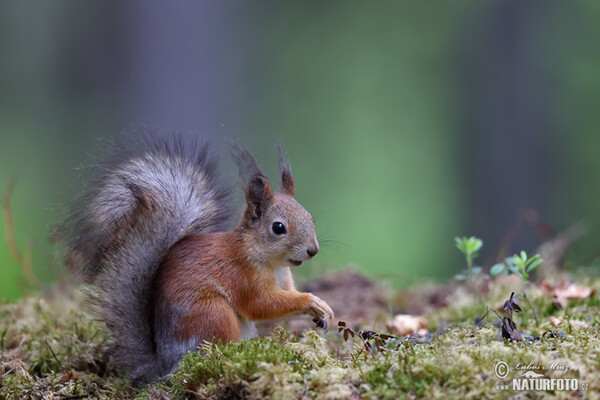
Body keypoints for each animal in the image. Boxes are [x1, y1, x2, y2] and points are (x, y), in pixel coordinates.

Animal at [63, 134, 336, 382]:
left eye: (309, 216)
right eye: (278, 228)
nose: (313, 250)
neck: (271, 262)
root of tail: (165, 365)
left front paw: (320, 315)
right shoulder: (242, 276)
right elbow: (261, 304)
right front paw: (311, 301)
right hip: (213, 313)